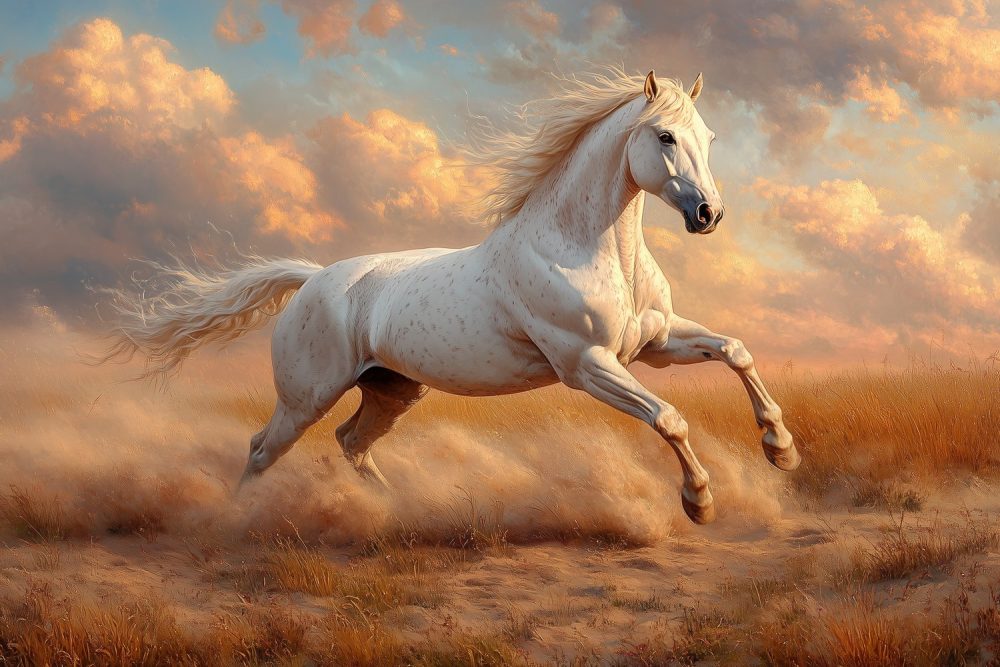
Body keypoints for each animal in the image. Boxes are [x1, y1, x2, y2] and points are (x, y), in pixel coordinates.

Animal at [105, 68, 800, 525]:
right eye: (664, 137)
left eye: (709, 139)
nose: (709, 214)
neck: (582, 247)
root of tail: (313, 279)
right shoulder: (587, 366)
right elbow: (669, 417)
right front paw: (699, 502)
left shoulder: (653, 344)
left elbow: (735, 351)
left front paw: (781, 450)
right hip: (306, 397)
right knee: (262, 450)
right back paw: (235, 523)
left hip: (391, 390)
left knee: (352, 443)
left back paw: (400, 510)